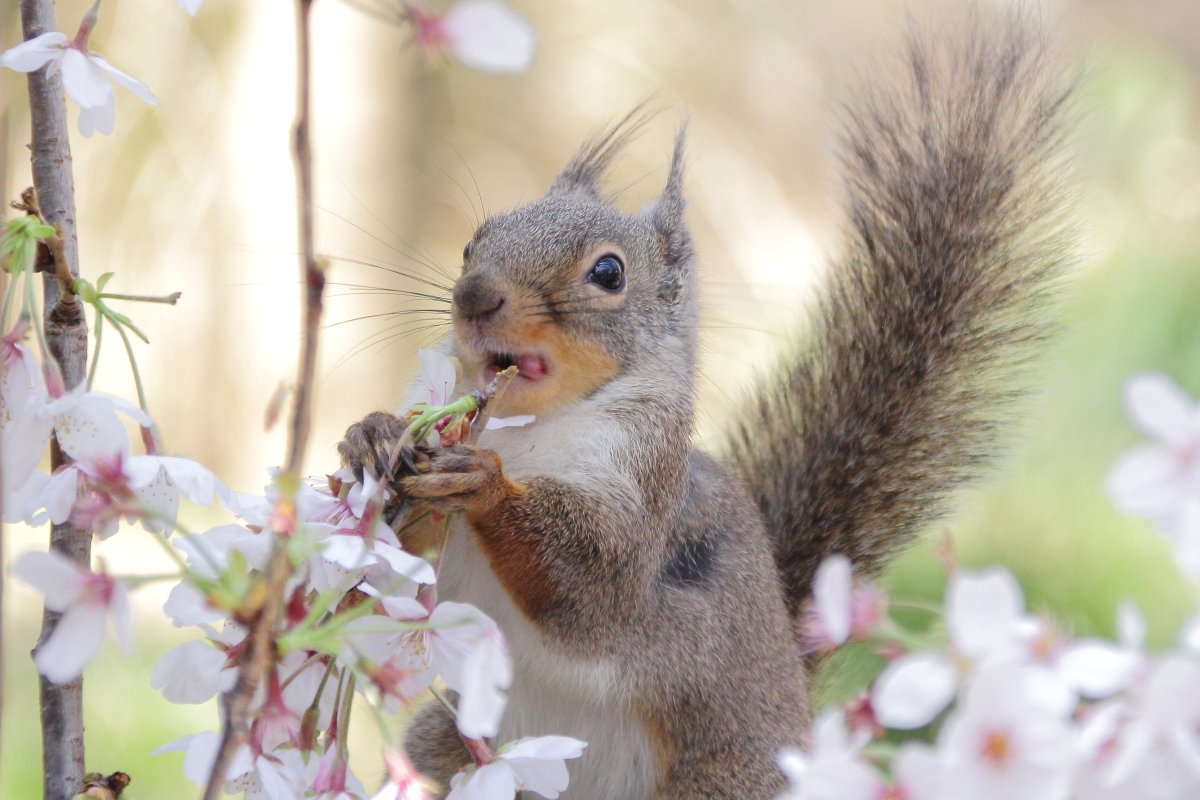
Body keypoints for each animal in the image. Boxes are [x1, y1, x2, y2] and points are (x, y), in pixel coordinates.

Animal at [338, 14, 1080, 800]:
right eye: (472, 243)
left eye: (609, 272)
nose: (475, 294)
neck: (529, 429)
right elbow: (410, 566)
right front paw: (373, 436)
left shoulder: (645, 483)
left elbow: (593, 584)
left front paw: (482, 482)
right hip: (449, 739)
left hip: (717, 779)